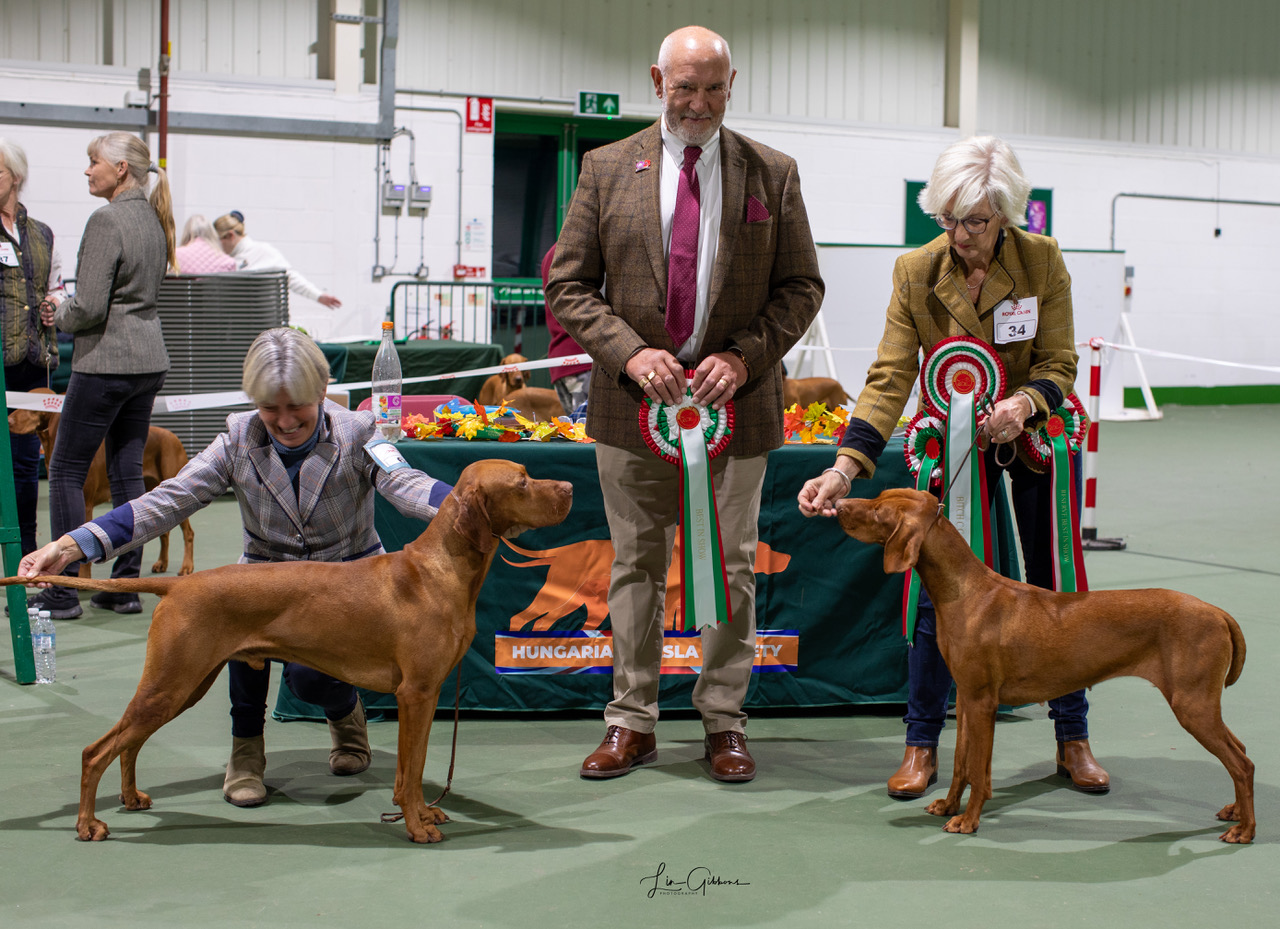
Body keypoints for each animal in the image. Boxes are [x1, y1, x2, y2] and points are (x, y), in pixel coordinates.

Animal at [0, 463, 570, 849]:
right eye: (522, 482)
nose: (567, 488)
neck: (440, 570)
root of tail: (178, 584)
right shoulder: (417, 693)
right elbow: (411, 771)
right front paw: (416, 824)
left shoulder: (424, 697)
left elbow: (414, 767)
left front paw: (425, 814)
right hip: (172, 681)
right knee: (96, 750)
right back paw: (87, 824)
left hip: (183, 686)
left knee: (128, 743)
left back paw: (132, 799)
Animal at [8, 394, 194, 583]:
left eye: (31, 409)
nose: (9, 420)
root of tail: (174, 436)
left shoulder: (86, 505)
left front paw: (83, 579)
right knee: (164, 532)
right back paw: (162, 563)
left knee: (188, 533)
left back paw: (186, 567)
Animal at [834, 491, 1254, 849]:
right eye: (877, 498)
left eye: (877, 511)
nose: (838, 503)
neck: (965, 591)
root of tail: (1218, 612)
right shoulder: (967, 698)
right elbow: (960, 764)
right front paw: (949, 806)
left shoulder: (983, 702)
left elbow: (979, 770)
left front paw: (968, 820)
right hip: (1199, 704)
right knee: (1241, 751)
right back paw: (1234, 811)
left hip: (1192, 703)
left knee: (1243, 763)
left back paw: (1245, 829)